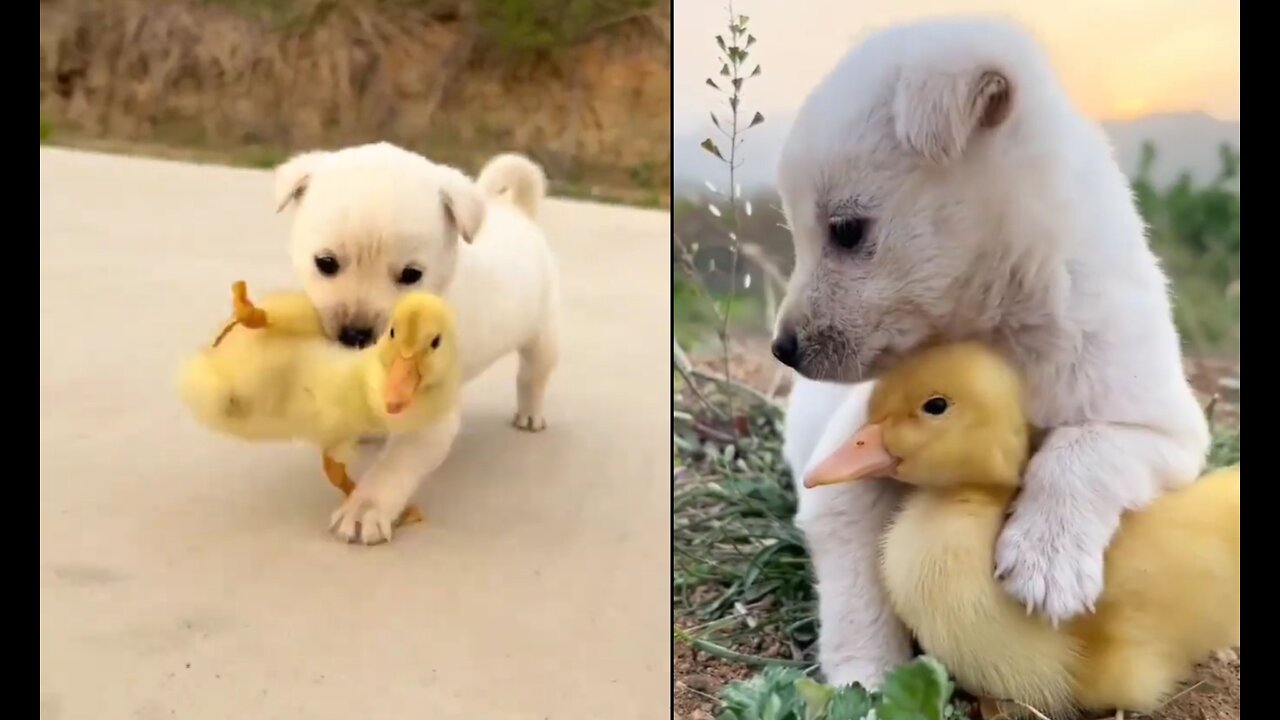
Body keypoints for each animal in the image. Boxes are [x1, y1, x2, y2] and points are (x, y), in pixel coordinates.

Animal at [272, 142, 558, 540]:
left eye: (412, 275)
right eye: (325, 263)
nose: (356, 336)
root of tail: (519, 212)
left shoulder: (428, 417)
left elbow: (395, 466)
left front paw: (366, 507)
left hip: (541, 334)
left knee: (533, 375)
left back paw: (530, 413)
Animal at [768, 18, 1208, 681]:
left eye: (845, 230)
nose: (782, 350)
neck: (1005, 326)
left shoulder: (1168, 431)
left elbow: (1085, 448)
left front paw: (1047, 559)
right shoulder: (844, 468)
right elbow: (855, 589)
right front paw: (865, 677)